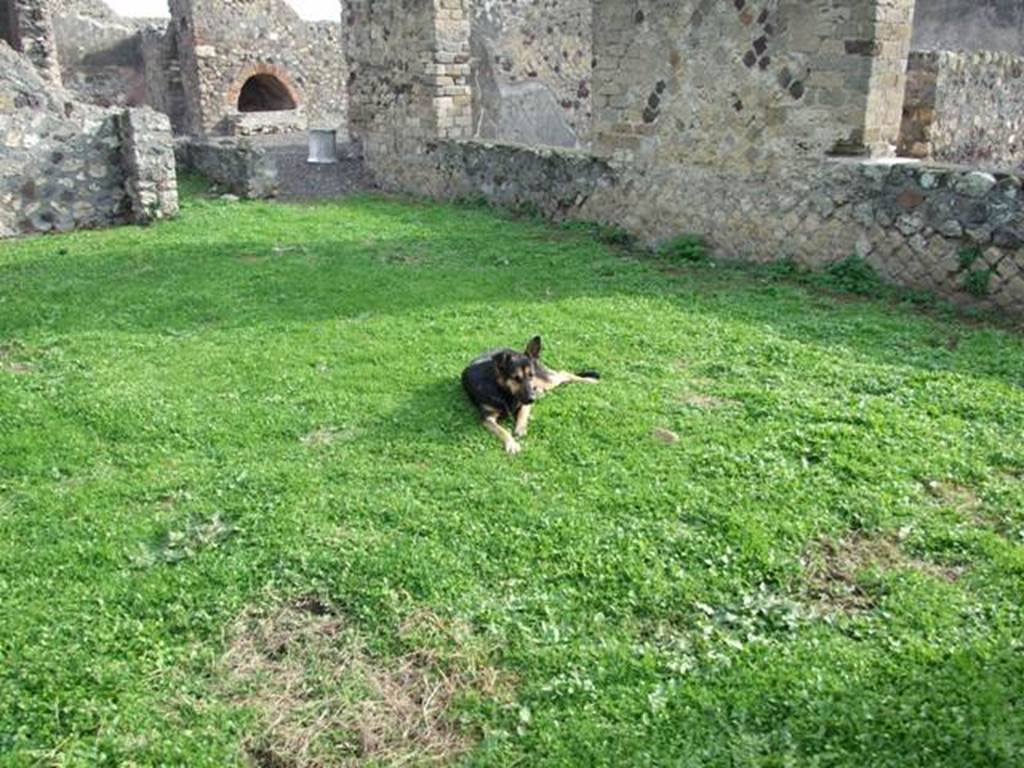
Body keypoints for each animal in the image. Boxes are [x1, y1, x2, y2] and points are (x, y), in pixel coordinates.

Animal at [458, 337, 598, 456]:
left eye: (531, 375)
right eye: (516, 378)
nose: (532, 399)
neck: (504, 391)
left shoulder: (525, 402)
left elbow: (522, 415)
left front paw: (520, 428)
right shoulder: (488, 419)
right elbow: (503, 430)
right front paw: (512, 443)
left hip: (547, 381)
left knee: (564, 374)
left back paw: (591, 381)